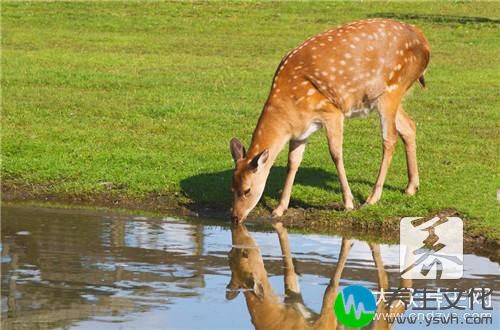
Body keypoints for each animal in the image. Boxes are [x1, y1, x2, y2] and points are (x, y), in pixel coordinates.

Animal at [229, 18, 430, 224]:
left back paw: (372, 198)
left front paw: (348, 203)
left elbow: (336, 153)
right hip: (385, 97)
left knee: (389, 139)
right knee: (409, 126)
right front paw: (279, 209)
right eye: (232, 187)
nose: (235, 216)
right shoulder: (301, 131)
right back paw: (411, 187)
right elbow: (293, 162)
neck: (290, 108)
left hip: (392, 89)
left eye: (247, 190)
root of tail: (423, 39)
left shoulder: (332, 112)